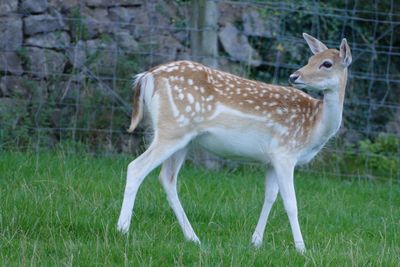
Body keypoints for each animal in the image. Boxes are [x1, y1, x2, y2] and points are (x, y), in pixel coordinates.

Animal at [117, 33, 352, 253]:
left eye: (326, 63)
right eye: (311, 58)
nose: (294, 76)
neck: (315, 127)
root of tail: (147, 76)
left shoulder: (271, 158)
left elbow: (269, 197)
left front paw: (256, 241)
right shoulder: (286, 152)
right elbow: (291, 203)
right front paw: (301, 249)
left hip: (183, 138)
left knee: (167, 178)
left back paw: (193, 238)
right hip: (172, 128)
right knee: (136, 168)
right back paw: (123, 230)